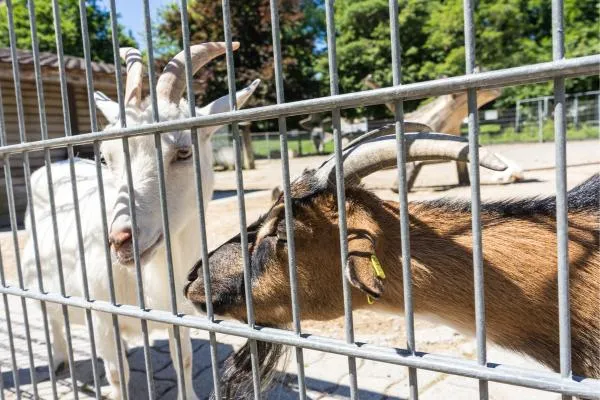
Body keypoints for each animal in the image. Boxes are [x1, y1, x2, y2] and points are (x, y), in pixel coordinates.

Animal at [23, 42, 260, 398]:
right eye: (105, 157)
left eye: (184, 152)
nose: (121, 239)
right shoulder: (101, 314)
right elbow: (116, 373)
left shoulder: (180, 316)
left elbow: (184, 360)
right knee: (53, 319)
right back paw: (58, 361)